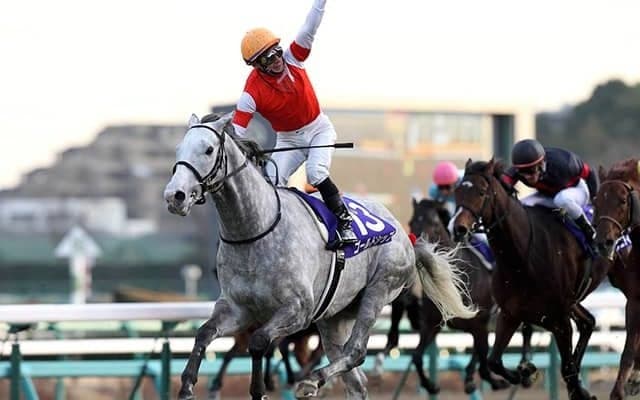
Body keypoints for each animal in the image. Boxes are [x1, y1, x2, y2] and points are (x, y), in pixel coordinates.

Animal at [163, 113, 476, 400]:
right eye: (179, 149)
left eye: (208, 149)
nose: (174, 196)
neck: (254, 230)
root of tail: (405, 235)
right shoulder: (238, 309)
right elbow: (204, 333)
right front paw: (187, 386)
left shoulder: (298, 310)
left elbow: (260, 341)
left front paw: (260, 388)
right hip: (334, 317)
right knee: (356, 381)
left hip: (380, 289)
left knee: (356, 351)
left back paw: (313, 379)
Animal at [451, 158, 611, 400]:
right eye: (458, 192)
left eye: (481, 192)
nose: (458, 228)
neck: (522, 258)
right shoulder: (510, 314)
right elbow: (494, 360)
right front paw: (525, 372)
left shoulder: (559, 319)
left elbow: (567, 368)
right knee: (588, 322)